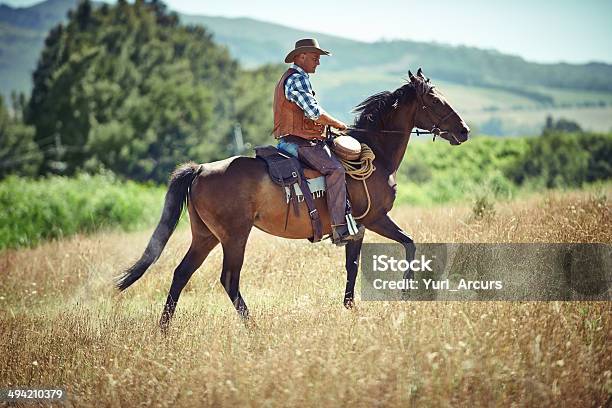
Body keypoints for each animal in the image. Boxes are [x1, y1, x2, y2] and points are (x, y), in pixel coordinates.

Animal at [116, 67, 468, 328]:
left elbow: (354, 266)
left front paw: (350, 308)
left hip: (205, 236)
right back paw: (253, 328)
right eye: (434, 100)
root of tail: (201, 169)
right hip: (234, 236)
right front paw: (405, 293)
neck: (376, 154)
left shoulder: (358, 229)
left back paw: (164, 329)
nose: (464, 130)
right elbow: (408, 244)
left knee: (181, 274)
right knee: (229, 279)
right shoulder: (374, 218)